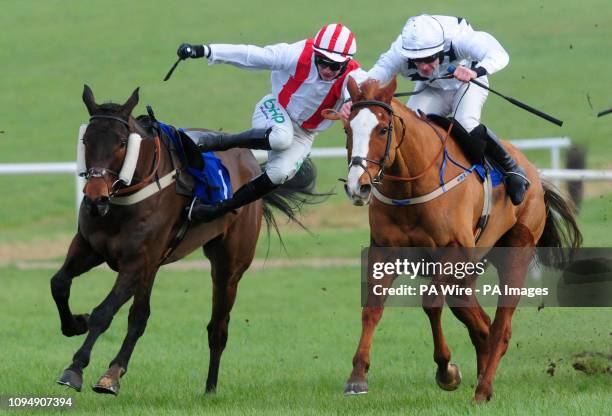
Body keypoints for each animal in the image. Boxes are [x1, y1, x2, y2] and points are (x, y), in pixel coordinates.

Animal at [52, 85, 318, 396]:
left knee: (218, 327)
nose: (95, 198)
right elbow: (59, 284)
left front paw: (75, 367)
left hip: (228, 265)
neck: (125, 201)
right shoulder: (90, 247)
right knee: (140, 316)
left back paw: (210, 388)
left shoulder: (137, 260)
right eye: (86, 140)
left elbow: (104, 312)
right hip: (155, 266)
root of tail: (252, 163)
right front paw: (75, 323)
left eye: (121, 143)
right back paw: (115, 372)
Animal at [342, 76, 580, 402]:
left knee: (501, 327)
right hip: (468, 272)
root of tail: (534, 173)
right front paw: (357, 377)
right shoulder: (384, 251)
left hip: (515, 253)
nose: (358, 186)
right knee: (481, 324)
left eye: (382, 129)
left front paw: (446, 371)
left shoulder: (453, 252)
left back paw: (483, 389)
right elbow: (372, 308)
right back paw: (482, 375)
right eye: (347, 129)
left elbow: (431, 303)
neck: (413, 186)